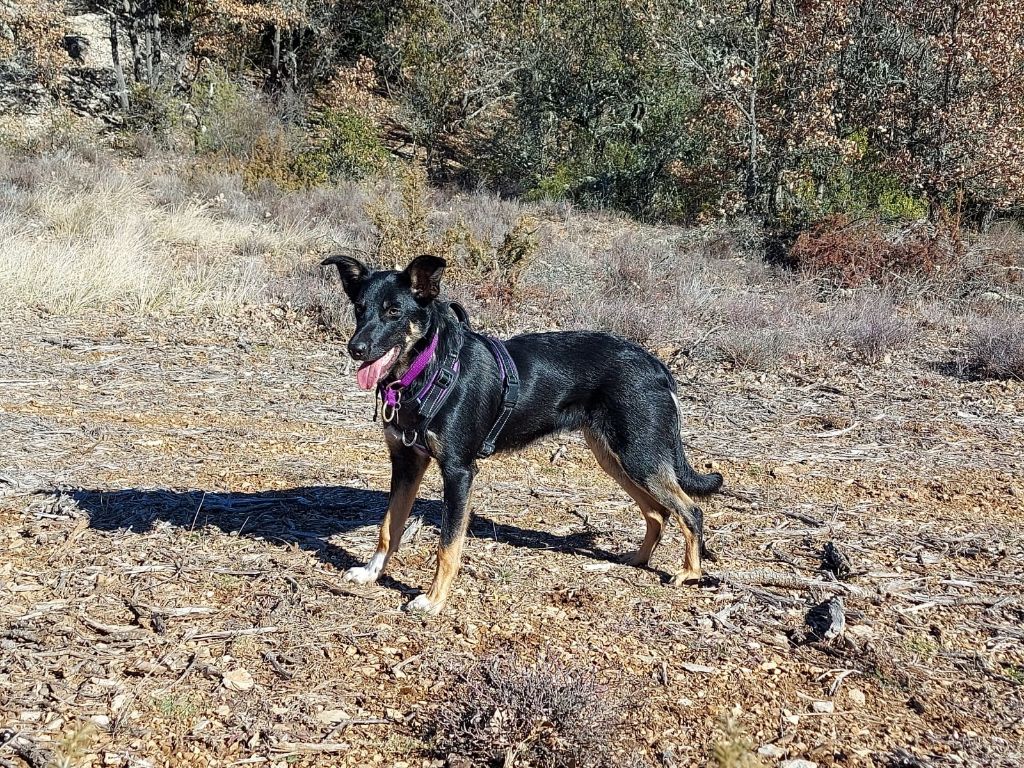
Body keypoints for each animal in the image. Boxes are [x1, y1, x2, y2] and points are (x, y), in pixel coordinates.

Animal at [319, 256, 720, 618]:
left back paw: (689, 573)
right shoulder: (406, 462)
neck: (426, 369)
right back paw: (637, 558)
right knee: (657, 512)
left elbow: (448, 545)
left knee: (690, 510)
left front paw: (433, 601)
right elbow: (389, 527)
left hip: (639, 456)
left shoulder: (459, 472)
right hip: (615, 456)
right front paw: (372, 573)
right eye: (359, 309)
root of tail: (658, 366)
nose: (355, 348)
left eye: (394, 312)